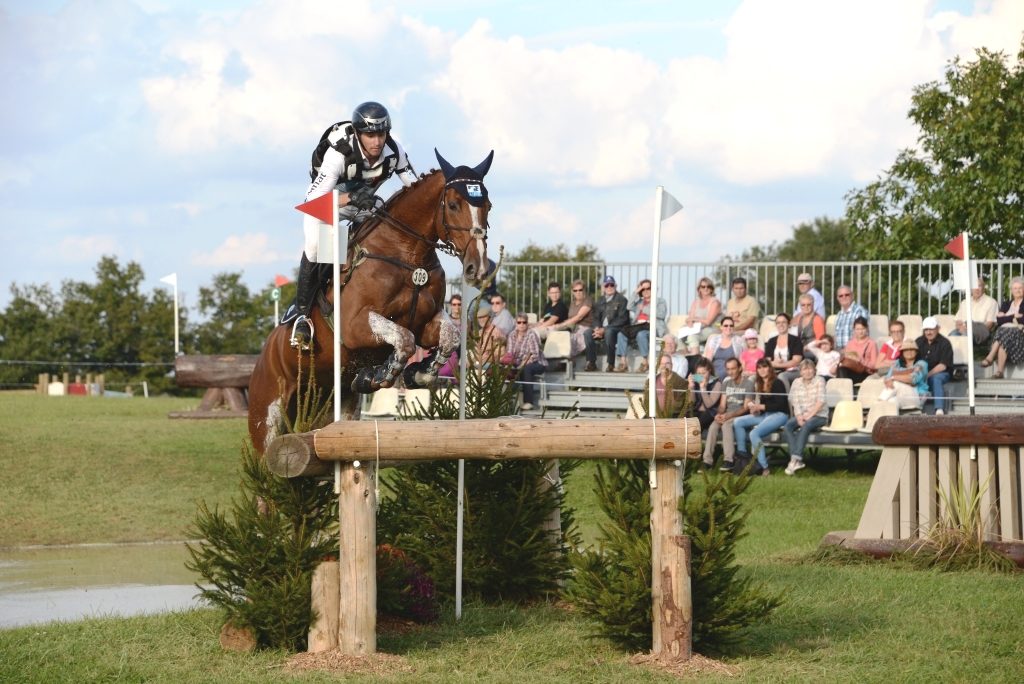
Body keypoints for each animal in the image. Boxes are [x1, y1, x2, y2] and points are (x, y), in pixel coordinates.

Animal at [245, 152, 489, 456]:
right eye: (454, 205)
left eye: (488, 206)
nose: (477, 268)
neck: (408, 254)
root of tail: (263, 357)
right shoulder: (354, 326)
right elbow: (403, 338)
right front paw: (383, 373)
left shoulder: (427, 321)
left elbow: (449, 337)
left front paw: (418, 374)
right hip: (266, 416)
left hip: (337, 402)